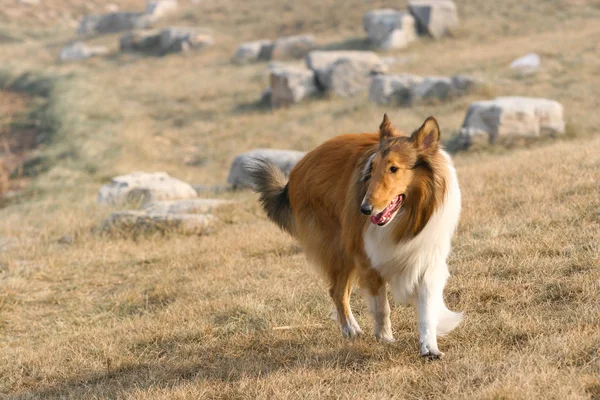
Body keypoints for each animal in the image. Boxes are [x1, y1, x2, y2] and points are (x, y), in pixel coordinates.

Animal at [251, 114, 462, 358]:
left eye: (394, 168)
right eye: (372, 168)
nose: (365, 209)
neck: (406, 218)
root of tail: (296, 170)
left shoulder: (427, 255)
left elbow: (427, 306)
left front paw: (429, 347)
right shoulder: (367, 257)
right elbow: (381, 306)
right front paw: (385, 338)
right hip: (340, 249)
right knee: (336, 291)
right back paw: (350, 328)